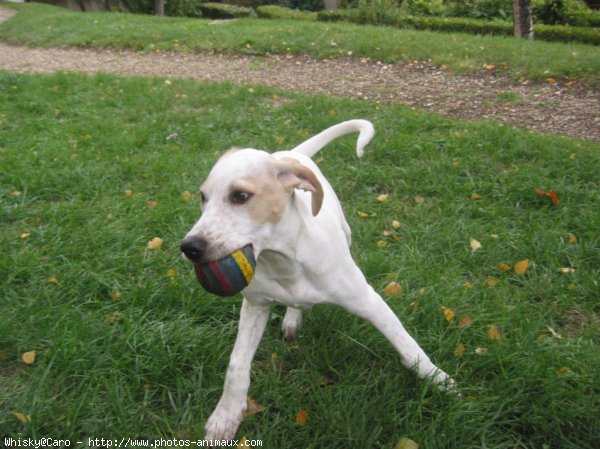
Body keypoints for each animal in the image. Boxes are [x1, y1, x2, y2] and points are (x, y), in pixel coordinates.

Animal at [182, 120, 454, 440]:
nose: (190, 247)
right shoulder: (255, 306)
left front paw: (439, 379)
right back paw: (292, 318)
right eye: (203, 197)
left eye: (240, 196)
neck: (283, 258)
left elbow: (408, 347)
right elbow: (237, 364)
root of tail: (290, 153)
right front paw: (225, 415)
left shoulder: (369, 301)